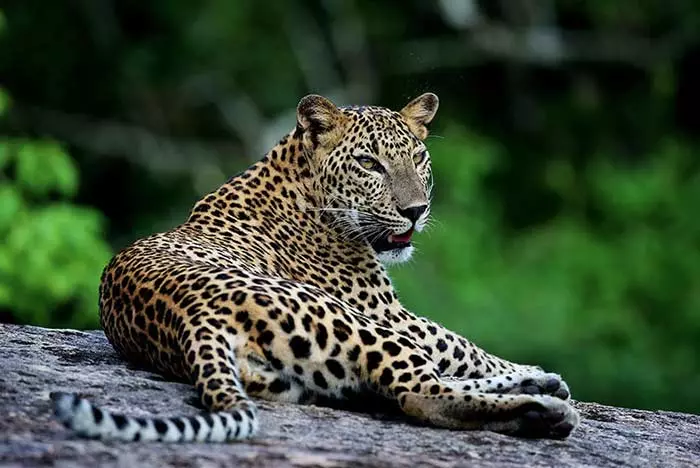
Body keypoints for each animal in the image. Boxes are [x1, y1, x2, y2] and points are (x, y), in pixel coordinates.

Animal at [50, 91, 580, 442]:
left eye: (419, 158)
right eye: (369, 164)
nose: (416, 210)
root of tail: (191, 318)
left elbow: (456, 347)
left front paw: (535, 371)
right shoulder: (387, 311)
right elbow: (459, 343)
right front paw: (529, 367)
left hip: (306, 377)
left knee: (396, 385)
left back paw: (543, 391)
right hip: (354, 323)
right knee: (418, 391)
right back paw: (544, 410)